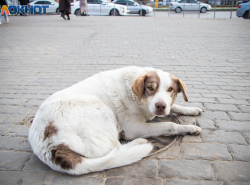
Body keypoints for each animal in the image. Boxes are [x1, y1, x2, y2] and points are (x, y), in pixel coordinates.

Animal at [28, 66, 203, 175]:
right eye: (150, 88)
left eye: (170, 89)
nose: (160, 106)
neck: (136, 97)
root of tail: (49, 145)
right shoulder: (135, 127)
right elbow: (170, 124)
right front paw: (188, 128)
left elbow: (175, 107)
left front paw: (191, 109)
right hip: (101, 108)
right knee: (117, 148)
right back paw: (139, 143)